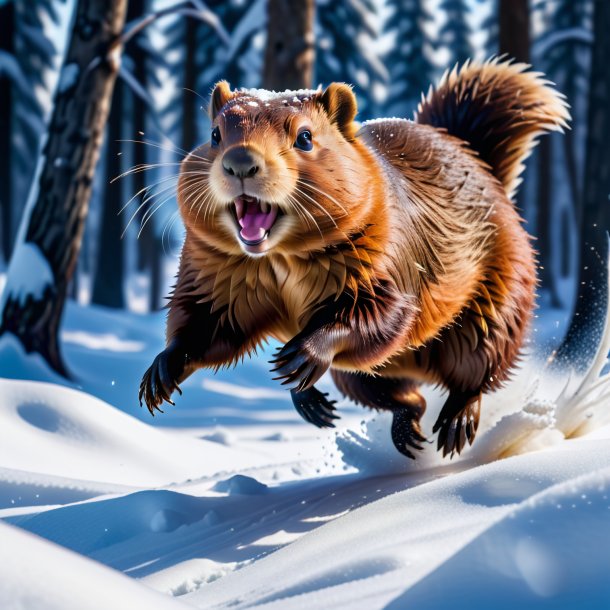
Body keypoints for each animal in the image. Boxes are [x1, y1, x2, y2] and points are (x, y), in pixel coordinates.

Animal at [137, 59, 564, 456]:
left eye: (305, 137)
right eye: (214, 134)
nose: (240, 162)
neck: (279, 258)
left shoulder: (390, 255)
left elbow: (381, 313)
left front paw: (303, 352)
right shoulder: (218, 272)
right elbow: (209, 322)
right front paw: (160, 374)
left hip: (498, 294)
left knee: (478, 366)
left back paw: (455, 425)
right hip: (359, 378)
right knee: (403, 396)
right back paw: (347, 413)